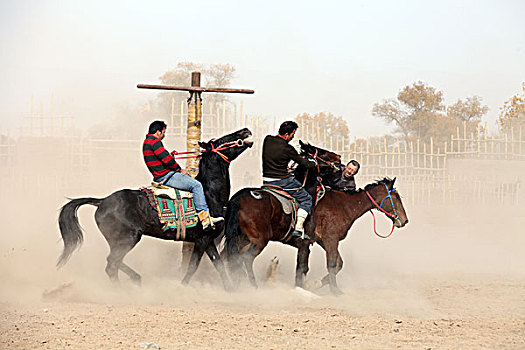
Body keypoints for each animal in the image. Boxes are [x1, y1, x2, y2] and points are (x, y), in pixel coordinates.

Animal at [56, 128, 253, 290]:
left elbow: (218, 264)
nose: (245, 130)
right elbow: (193, 266)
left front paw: (230, 289)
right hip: (129, 238)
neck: (209, 193)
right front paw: (181, 287)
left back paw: (135, 279)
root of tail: (102, 201)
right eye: (223, 140)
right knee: (112, 264)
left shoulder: (208, 240)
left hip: (118, 241)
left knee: (113, 262)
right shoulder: (203, 239)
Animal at [224, 141, 340, 288]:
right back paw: (254, 287)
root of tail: (239, 199)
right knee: (245, 258)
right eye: (322, 153)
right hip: (259, 239)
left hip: (240, 237)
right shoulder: (304, 243)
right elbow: (302, 268)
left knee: (233, 259)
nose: (338, 157)